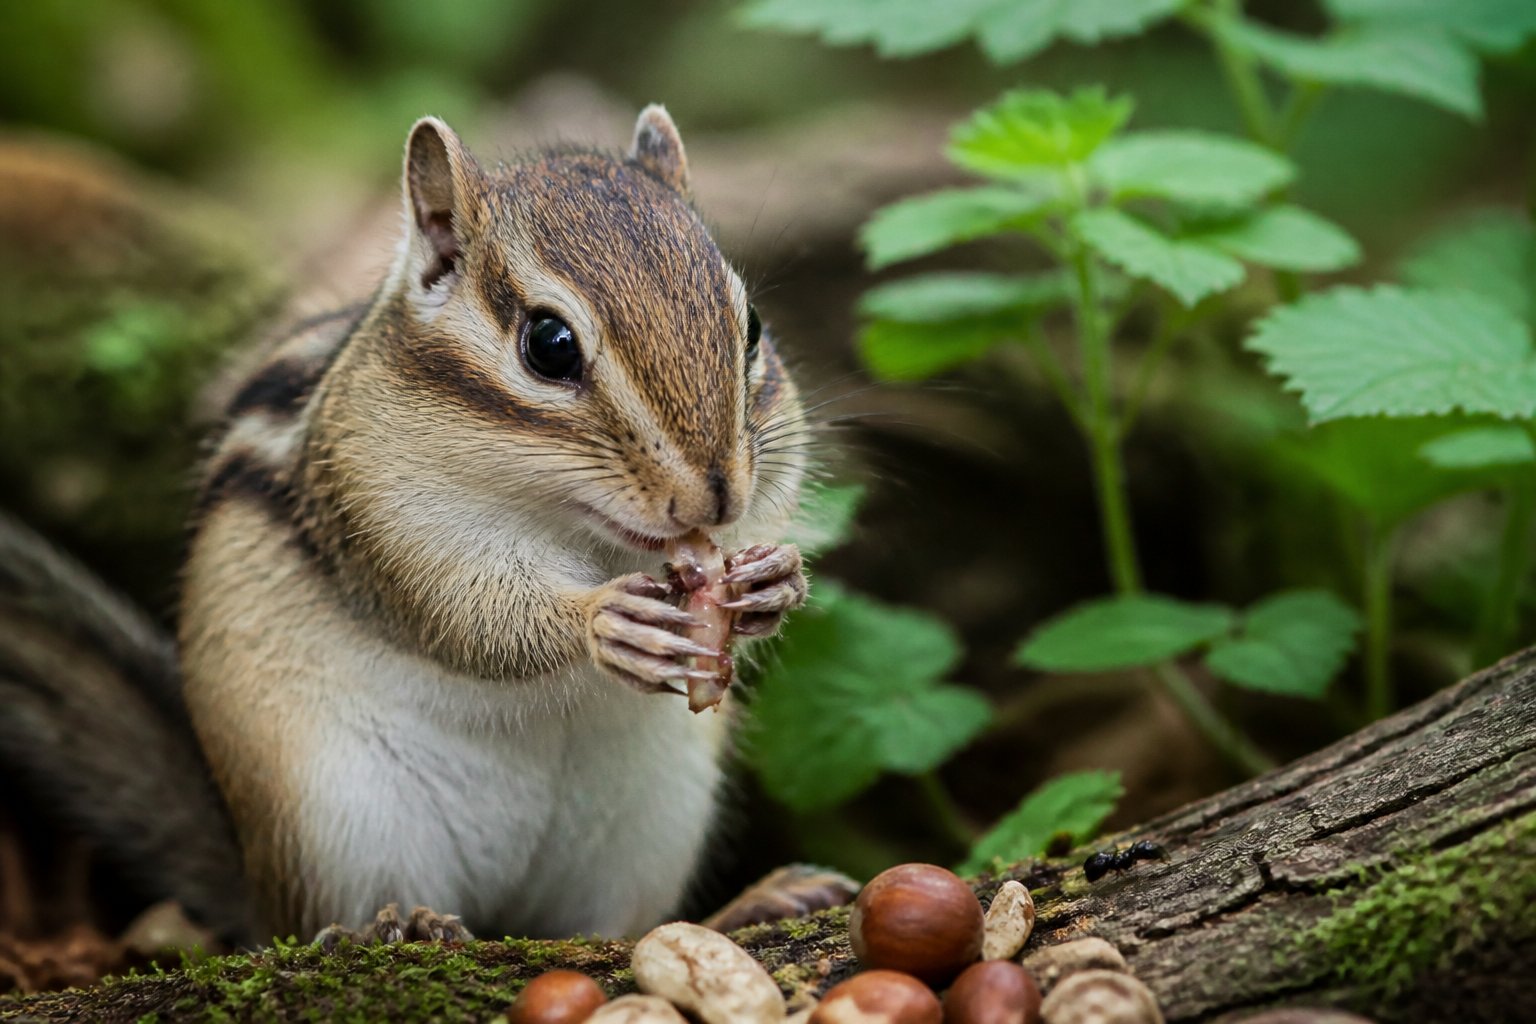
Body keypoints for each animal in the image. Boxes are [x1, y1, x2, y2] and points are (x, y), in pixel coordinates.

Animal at [0, 105, 831, 947]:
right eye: (549, 344)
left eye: (752, 327)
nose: (716, 499)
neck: (578, 527)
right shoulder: (381, 516)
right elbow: (469, 617)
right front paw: (603, 619)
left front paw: (775, 579)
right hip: (336, 819)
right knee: (329, 922)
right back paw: (397, 927)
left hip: (656, 821)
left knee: (625, 929)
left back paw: (754, 902)